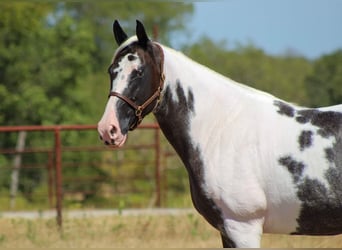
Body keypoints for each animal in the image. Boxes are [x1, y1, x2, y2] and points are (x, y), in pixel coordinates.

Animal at [97, 20, 342, 248]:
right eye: (111, 71)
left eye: (139, 72)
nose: (108, 128)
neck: (222, 129)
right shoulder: (227, 231)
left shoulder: (242, 228)